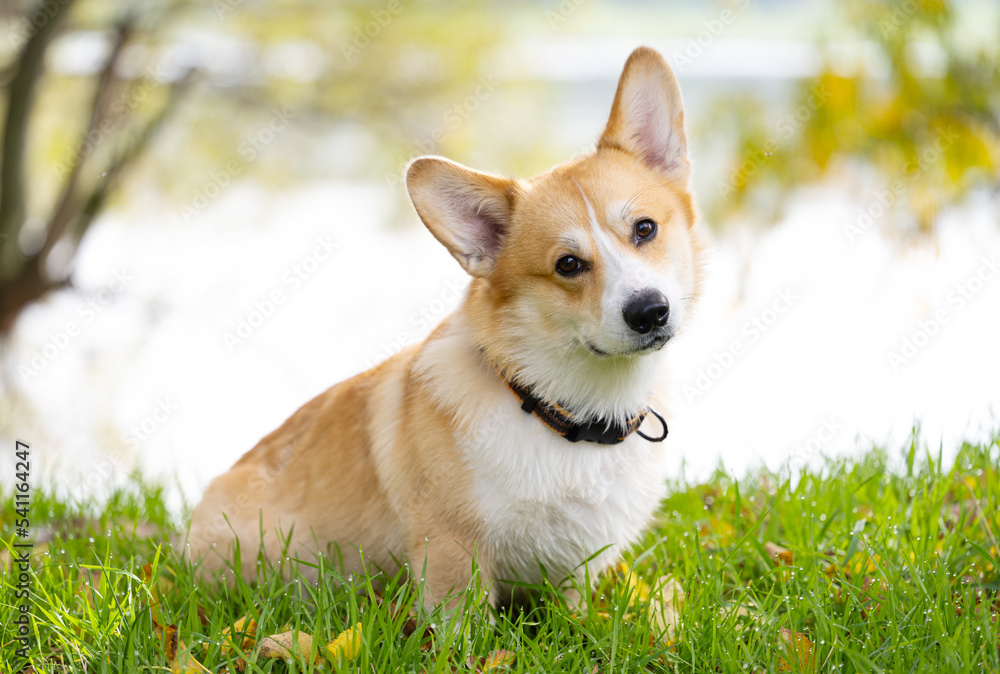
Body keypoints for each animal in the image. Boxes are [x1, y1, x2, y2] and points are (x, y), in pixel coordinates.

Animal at [186, 44, 704, 608]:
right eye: (568, 265)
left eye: (645, 229)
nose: (650, 311)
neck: (564, 411)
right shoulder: (452, 553)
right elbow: (464, 624)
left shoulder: (579, 572)